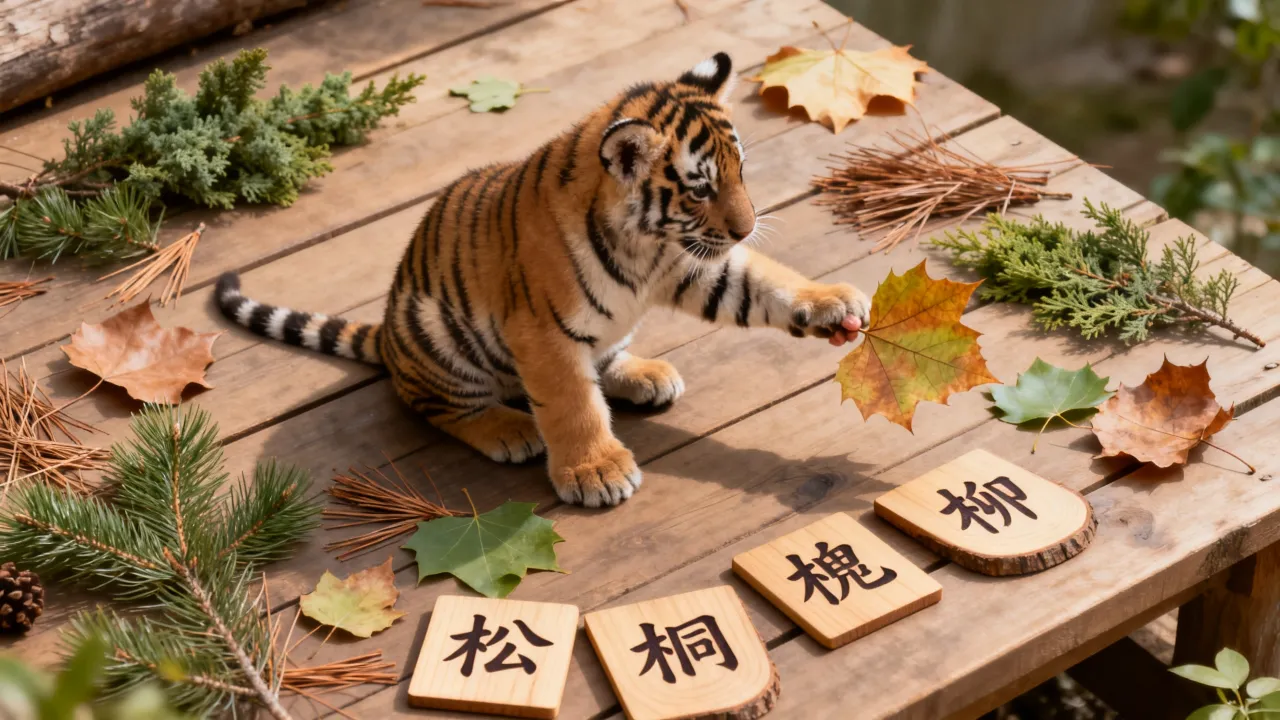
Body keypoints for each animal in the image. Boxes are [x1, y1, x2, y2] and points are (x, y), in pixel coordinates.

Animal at [216, 52, 871, 508]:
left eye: (741, 173)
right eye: (701, 188)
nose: (746, 227)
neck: (646, 245)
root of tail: (387, 332)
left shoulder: (692, 266)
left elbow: (763, 284)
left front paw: (835, 303)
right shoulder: (544, 331)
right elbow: (571, 404)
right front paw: (598, 472)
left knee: (606, 363)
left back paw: (645, 374)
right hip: (439, 338)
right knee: (438, 406)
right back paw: (509, 430)